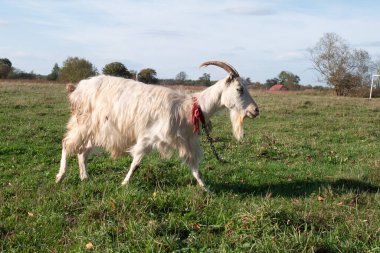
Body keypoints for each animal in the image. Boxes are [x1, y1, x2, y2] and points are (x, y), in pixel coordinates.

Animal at [55, 60, 260, 190]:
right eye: (239, 89)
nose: (255, 110)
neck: (190, 107)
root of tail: (78, 88)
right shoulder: (148, 137)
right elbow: (136, 163)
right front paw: (124, 183)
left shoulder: (186, 142)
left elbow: (195, 168)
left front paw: (206, 189)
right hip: (84, 123)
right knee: (67, 144)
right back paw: (60, 177)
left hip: (97, 129)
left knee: (82, 151)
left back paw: (85, 177)